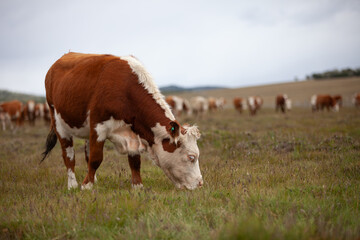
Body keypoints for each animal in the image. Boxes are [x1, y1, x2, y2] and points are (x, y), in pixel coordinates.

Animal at [41, 51, 202, 190]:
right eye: (191, 157)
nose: (200, 183)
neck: (125, 91)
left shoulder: (133, 132)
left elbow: (135, 161)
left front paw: (137, 186)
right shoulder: (98, 127)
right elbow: (96, 158)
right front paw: (86, 186)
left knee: (86, 154)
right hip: (58, 123)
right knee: (69, 156)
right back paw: (72, 184)